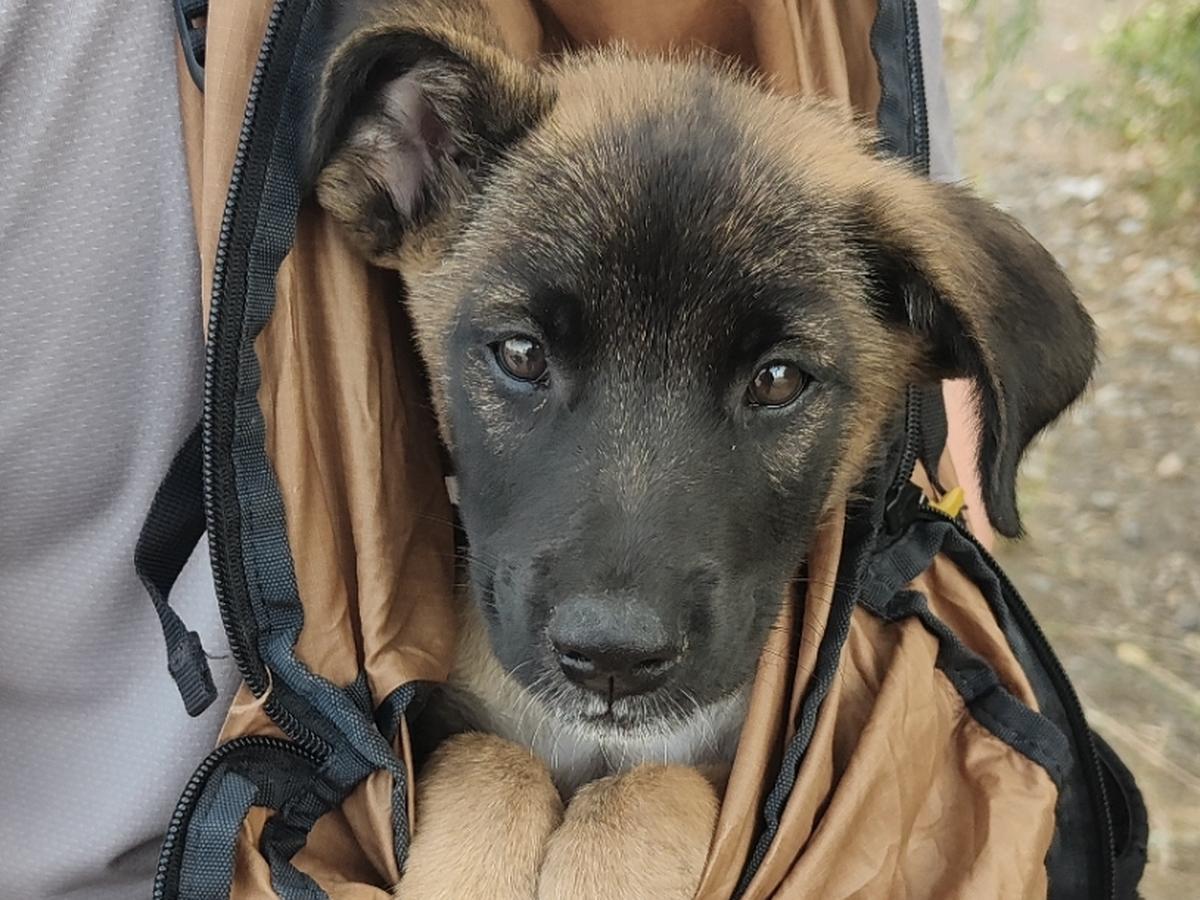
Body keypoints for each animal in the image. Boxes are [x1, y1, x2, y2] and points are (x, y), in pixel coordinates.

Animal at [306, 1, 1096, 896]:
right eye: (520, 353)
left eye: (779, 379)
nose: (611, 658)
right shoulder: (458, 720)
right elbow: (490, 761)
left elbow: (649, 791)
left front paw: (609, 856)